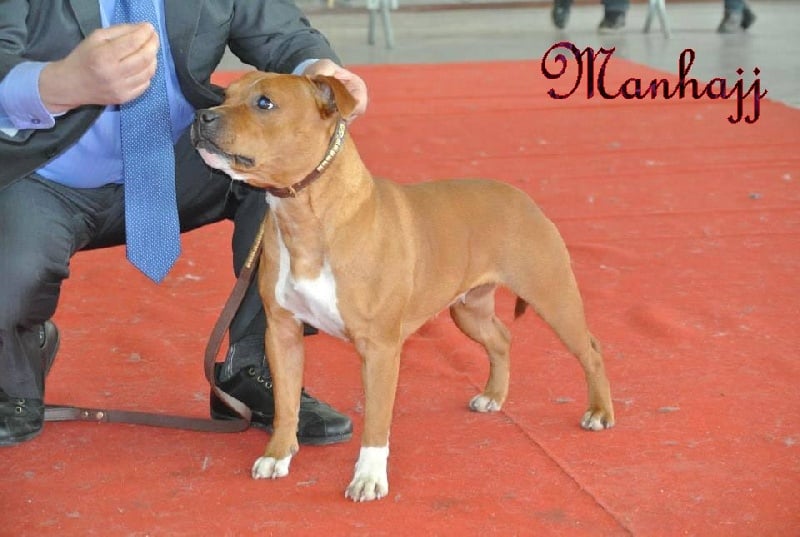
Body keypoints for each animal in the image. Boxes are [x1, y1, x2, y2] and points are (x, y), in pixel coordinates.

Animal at [191, 71, 615, 502]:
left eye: (265, 103)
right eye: (225, 94)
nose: (202, 115)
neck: (305, 215)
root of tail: (522, 198)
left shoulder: (380, 348)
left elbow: (377, 421)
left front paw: (368, 478)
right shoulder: (282, 332)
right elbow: (287, 402)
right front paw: (278, 454)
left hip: (553, 297)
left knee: (591, 349)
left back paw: (599, 412)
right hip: (468, 309)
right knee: (501, 338)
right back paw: (493, 396)